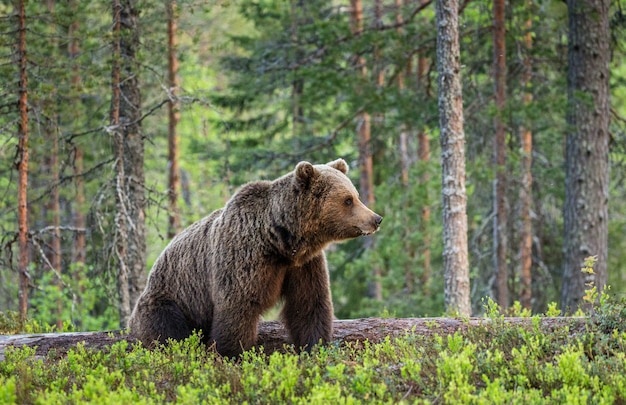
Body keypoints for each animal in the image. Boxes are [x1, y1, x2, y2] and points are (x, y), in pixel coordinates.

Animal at [128, 158, 380, 354]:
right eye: (348, 200)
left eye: (356, 195)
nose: (376, 219)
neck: (280, 240)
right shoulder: (243, 257)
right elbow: (238, 308)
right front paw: (229, 354)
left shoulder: (303, 264)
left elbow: (309, 304)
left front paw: (314, 347)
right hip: (171, 299)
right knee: (169, 333)